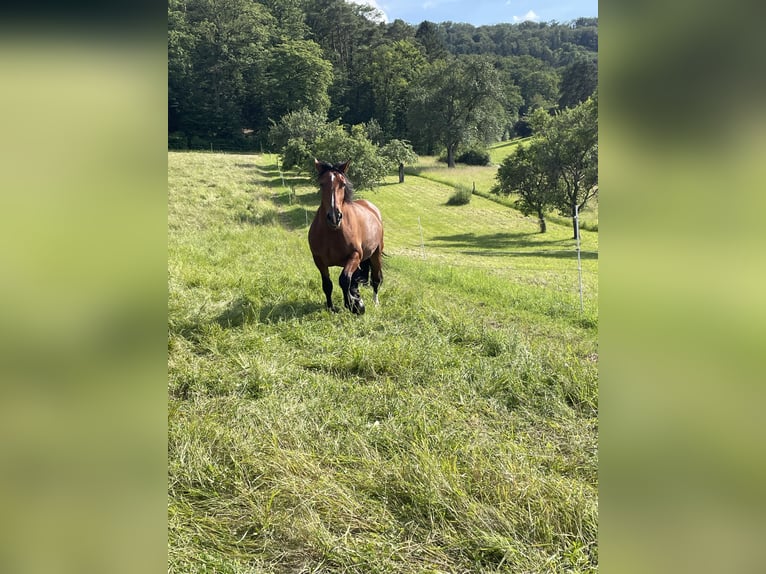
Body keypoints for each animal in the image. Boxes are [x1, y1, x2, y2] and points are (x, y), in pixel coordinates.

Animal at [308, 159, 384, 316]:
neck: (332, 232)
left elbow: (344, 280)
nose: (334, 217)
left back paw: (375, 303)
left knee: (375, 279)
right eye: (321, 184)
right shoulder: (319, 260)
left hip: (376, 255)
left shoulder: (355, 256)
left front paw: (355, 305)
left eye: (342, 184)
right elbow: (328, 284)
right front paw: (331, 308)